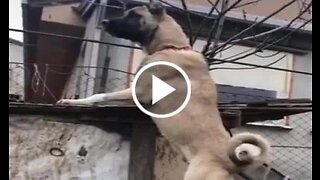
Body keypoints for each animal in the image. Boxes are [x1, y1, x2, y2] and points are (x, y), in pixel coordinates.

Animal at [57, 3, 270, 180]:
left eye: (134, 15)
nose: (105, 22)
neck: (171, 46)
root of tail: (231, 161)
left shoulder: (138, 93)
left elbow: (98, 96)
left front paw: (72, 102)